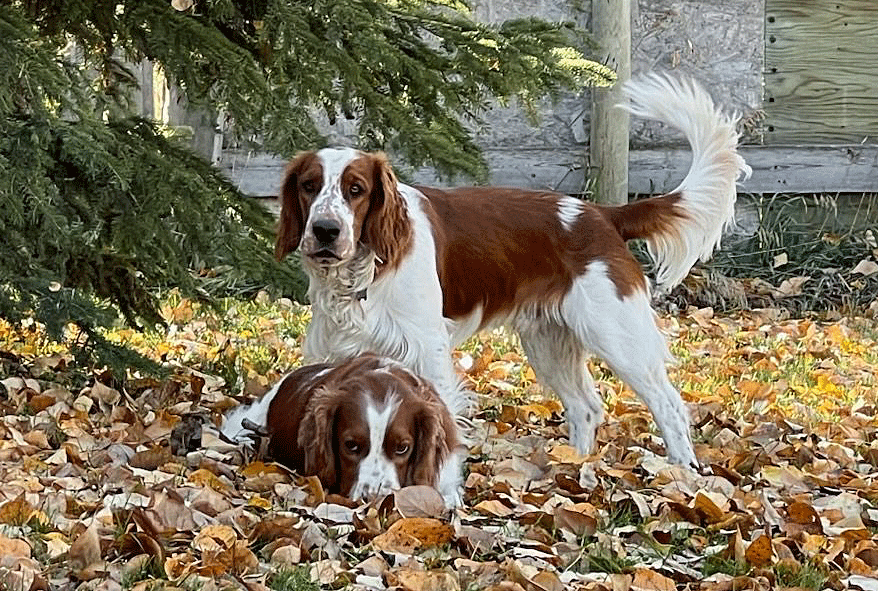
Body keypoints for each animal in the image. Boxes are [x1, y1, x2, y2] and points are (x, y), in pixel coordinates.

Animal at [274, 75, 748, 472]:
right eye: (309, 186)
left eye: (356, 190)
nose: (326, 230)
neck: (364, 272)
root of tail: (602, 214)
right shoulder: (339, 352)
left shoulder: (427, 350)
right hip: (548, 339)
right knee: (586, 406)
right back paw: (571, 469)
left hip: (617, 335)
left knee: (668, 403)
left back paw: (682, 472)